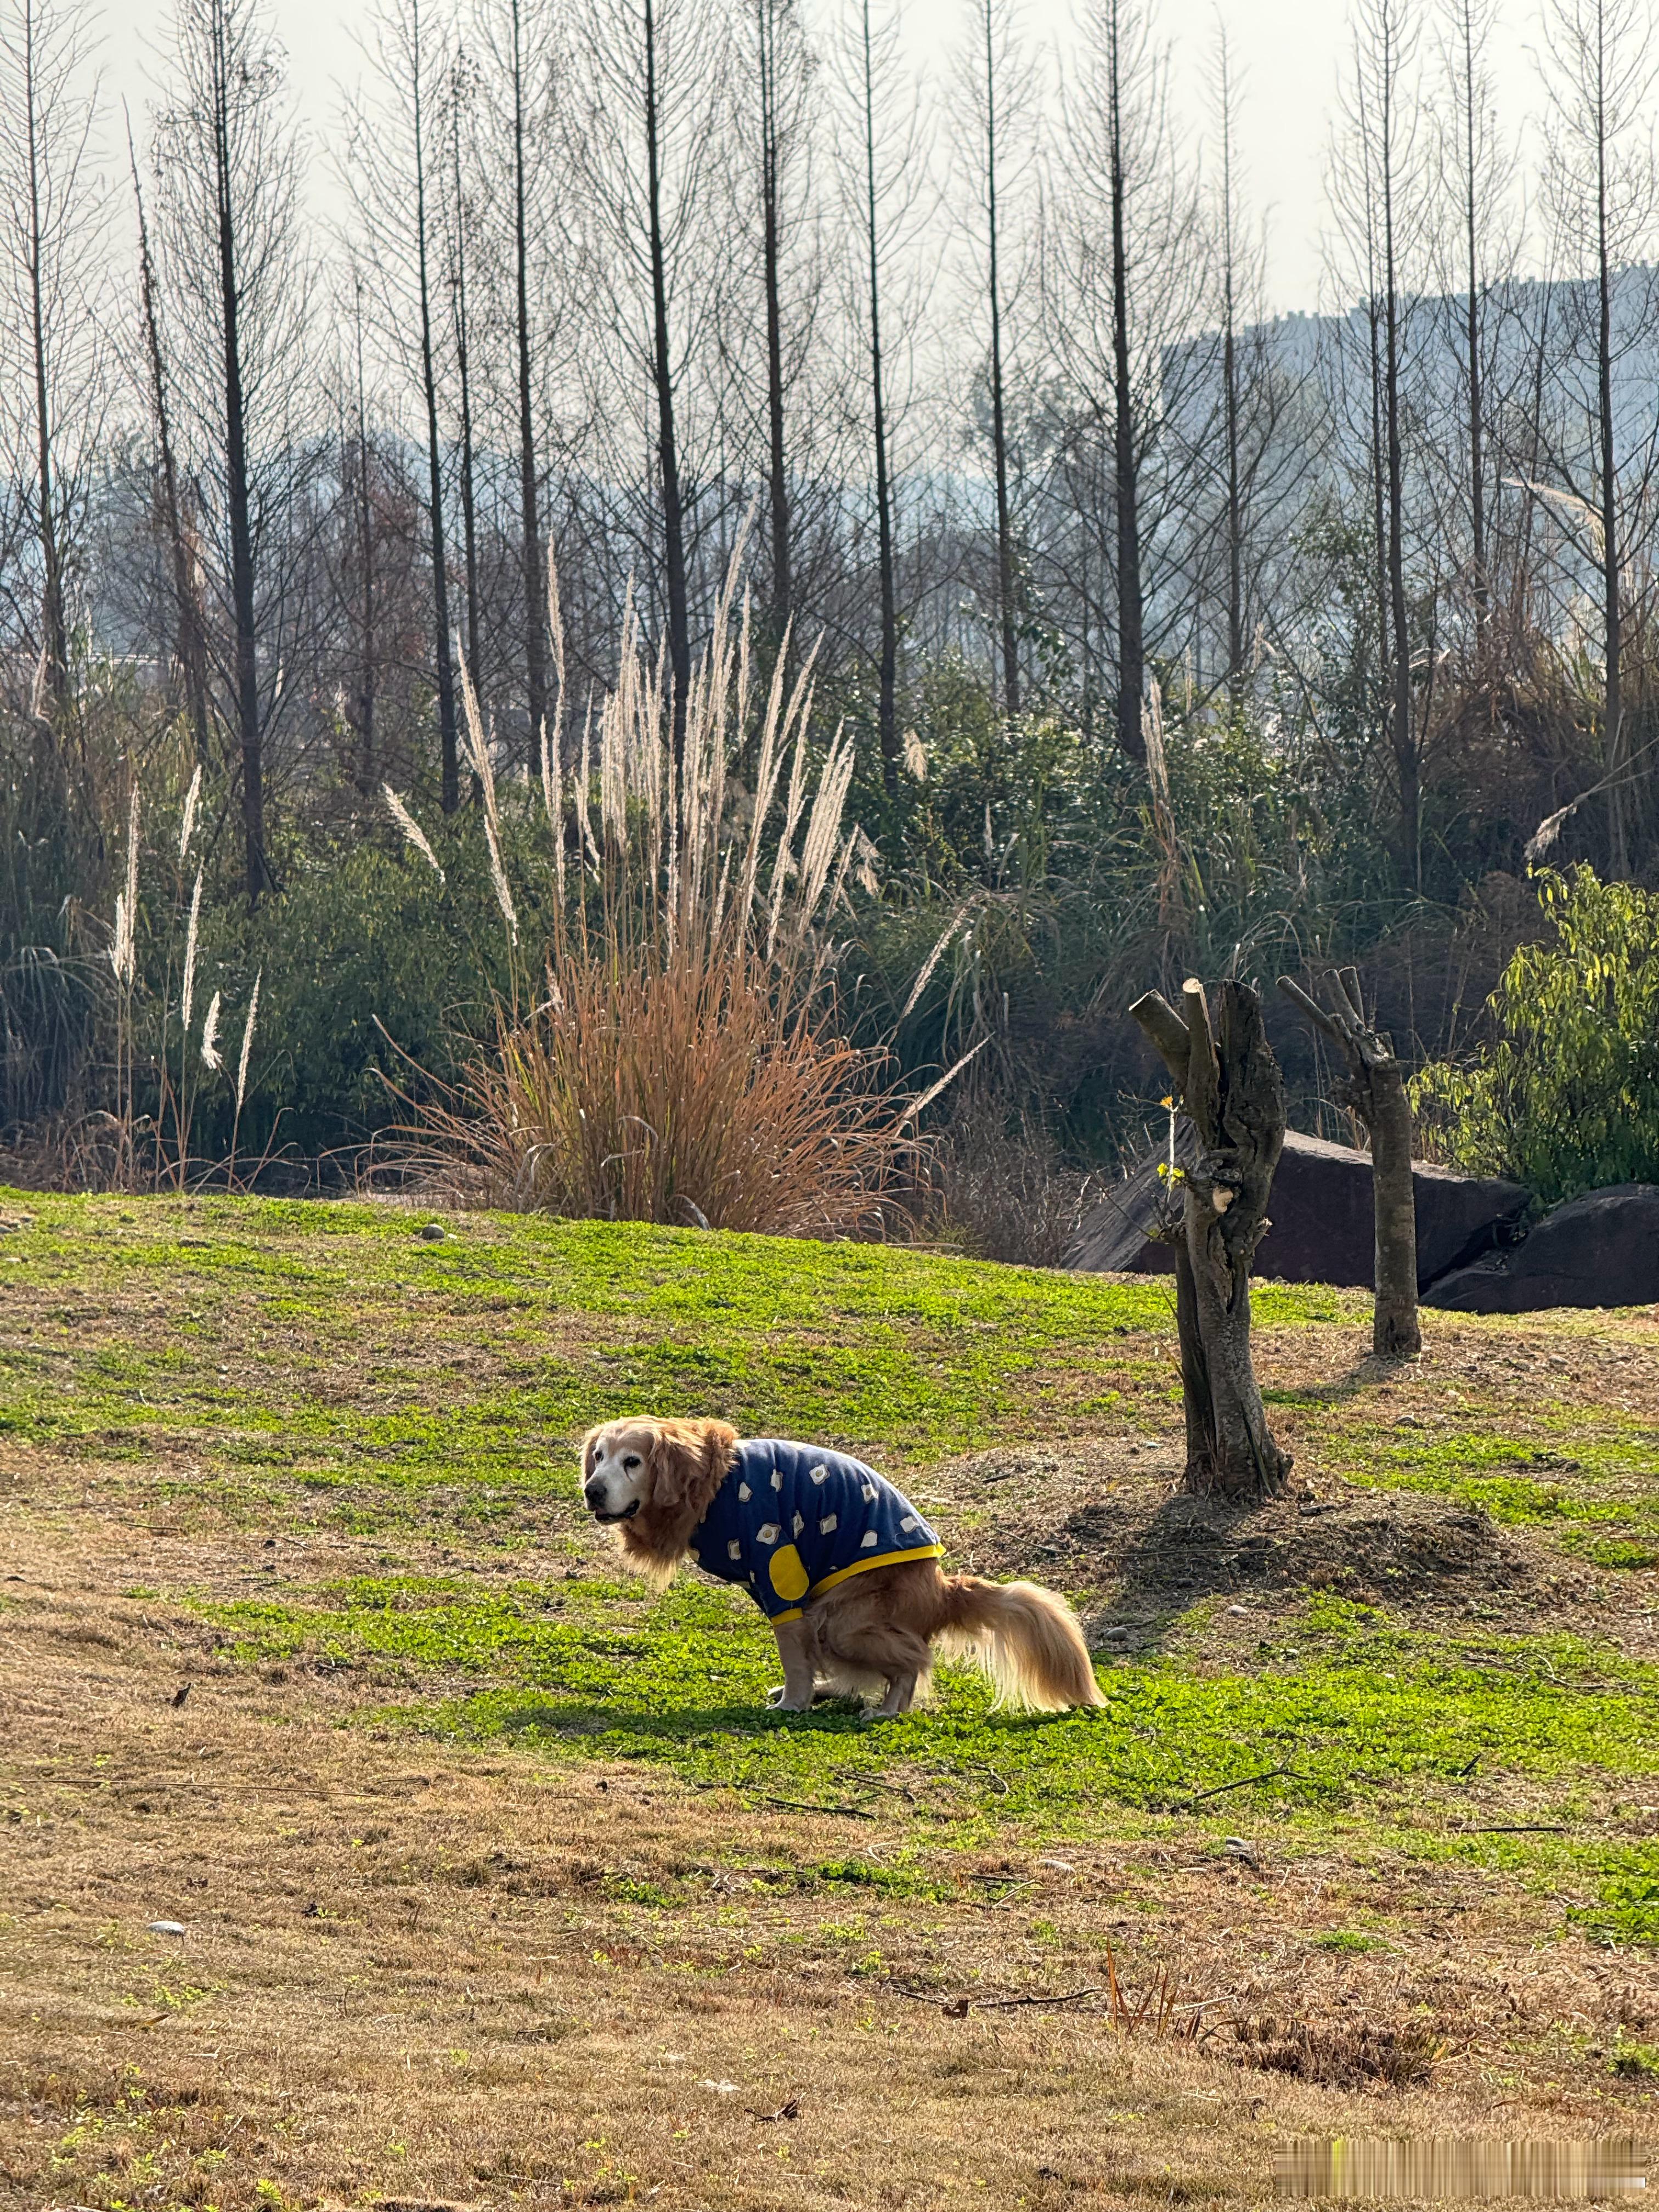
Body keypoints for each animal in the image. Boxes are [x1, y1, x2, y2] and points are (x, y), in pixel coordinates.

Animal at [579, 1424, 1110, 1716]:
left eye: (633, 1462)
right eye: (599, 1457)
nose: (592, 1490)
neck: (712, 1481)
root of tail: (941, 1588)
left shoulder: (778, 1567)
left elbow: (793, 1656)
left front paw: (791, 1705)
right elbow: (800, 1657)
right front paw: (801, 1694)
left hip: (844, 1619)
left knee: (912, 1661)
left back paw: (888, 1709)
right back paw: (832, 1691)